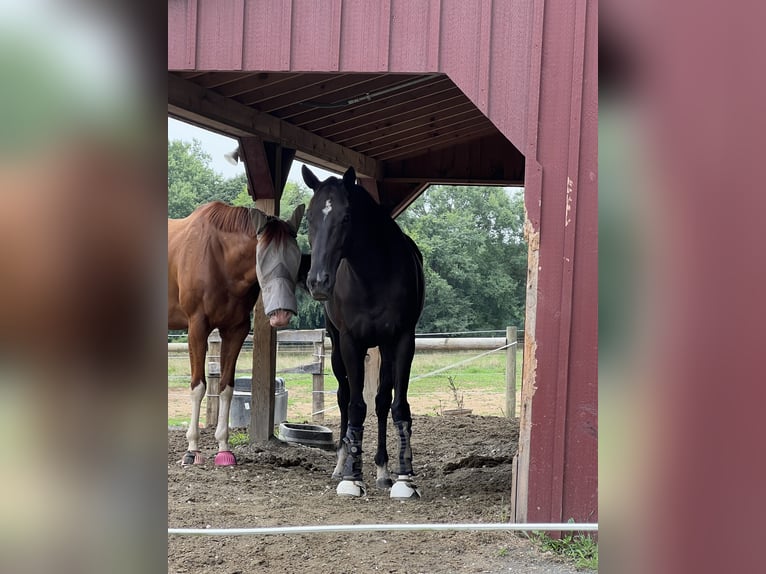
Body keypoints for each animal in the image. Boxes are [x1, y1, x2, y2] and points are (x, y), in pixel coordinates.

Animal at [170, 202, 304, 468]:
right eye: (264, 259)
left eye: (297, 258)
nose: (281, 315)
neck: (219, 257)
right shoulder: (197, 327)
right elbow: (198, 387)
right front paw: (192, 449)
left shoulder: (236, 331)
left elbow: (226, 387)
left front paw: (223, 448)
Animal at [304, 166, 428, 500]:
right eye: (309, 217)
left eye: (346, 216)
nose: (318, 281)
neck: (372, 276)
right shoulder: (350, 343)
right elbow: (356, 406)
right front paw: (351, 477)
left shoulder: (402, 340)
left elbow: (397, 405)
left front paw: (404, 477)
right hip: (336, 351)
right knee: (344, 397)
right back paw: (341, 463)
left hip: (384, 349)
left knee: (382, 401)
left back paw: (383, 469)